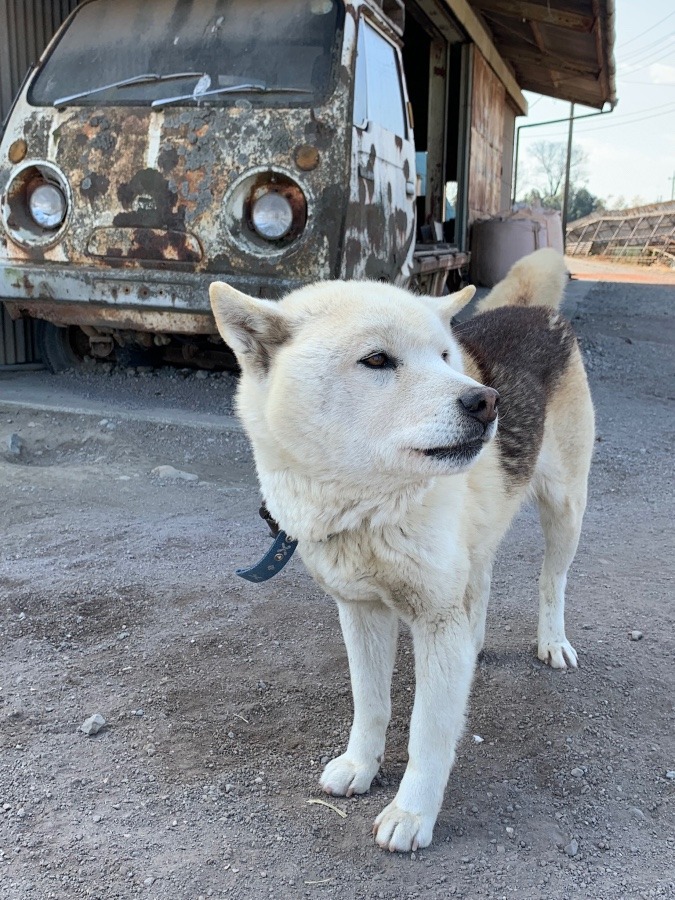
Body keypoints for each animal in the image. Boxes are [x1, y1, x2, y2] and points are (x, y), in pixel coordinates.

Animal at [209, 250, 596, 856]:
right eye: (376, 360)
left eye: (444, 356)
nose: (486, 402)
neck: (369, 510)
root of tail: (530, 311)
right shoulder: (361, 612)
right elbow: (371, 704)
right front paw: (359, 766)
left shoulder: (434, 619)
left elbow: (428, 732)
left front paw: (412, 813)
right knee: (481, 584)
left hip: (565, 509)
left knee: (550, 581)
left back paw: (552, 640)